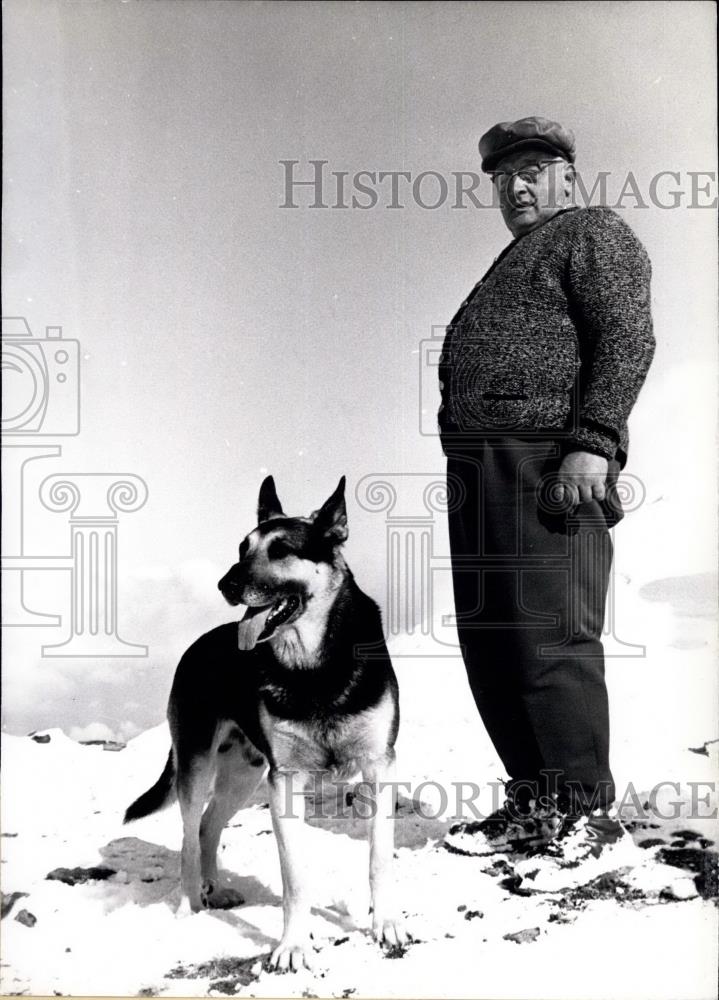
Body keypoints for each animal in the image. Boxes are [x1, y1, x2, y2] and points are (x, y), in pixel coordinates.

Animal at [126, 480, 408, 972]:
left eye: (281, 550)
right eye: (243, 548)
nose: (225, 585)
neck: (314, 668)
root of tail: (196, 646)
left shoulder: (378, 766)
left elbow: (378, 859)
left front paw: (385, 924)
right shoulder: (285, 783)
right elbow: (293, 877)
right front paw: (293, 946)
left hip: (243, 774)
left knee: (207, 827)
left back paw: (215, 890)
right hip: (198, 766)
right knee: (188, 836)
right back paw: (191, 907)